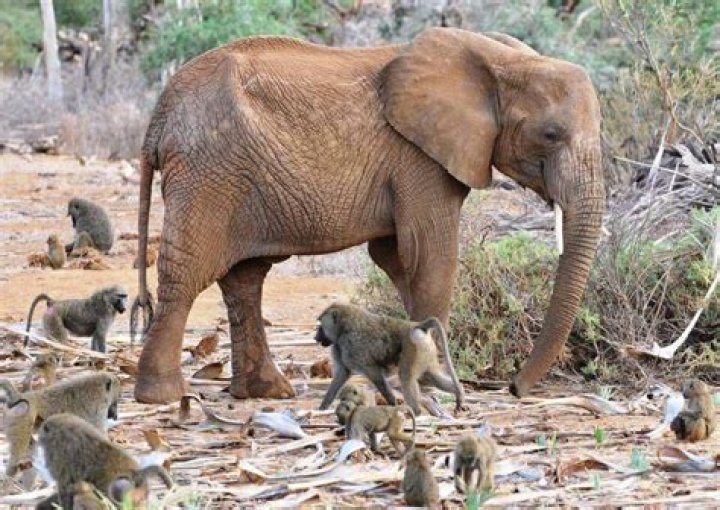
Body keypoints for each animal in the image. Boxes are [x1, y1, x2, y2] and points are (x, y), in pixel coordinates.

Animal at [132, 28, 605, 404]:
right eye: (550, 134)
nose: (514, 388)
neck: (502, 60)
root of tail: (159, 115)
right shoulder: (418, 157)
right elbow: (430, 255)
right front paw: (431, 383)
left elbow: (397, 259)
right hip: (208, 173)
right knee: (188, 272)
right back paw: (162, 396)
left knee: (245, 278)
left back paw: (266, 392)